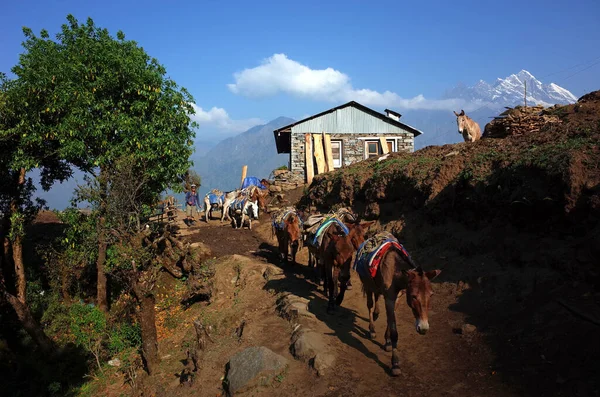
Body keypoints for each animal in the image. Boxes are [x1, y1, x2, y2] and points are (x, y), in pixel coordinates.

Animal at [356, 230, 440, 372]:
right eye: (413, 296)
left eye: (431, 295)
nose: (423, 328)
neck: (395, 270)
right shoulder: (389, 298)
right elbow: (394, 331)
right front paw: (395, 363)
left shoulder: (398, 298)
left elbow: (390, 320)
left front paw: (387, 341)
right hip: (367, 285)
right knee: (370, 304)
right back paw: (372, 329)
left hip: (376, 286)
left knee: (377, 297)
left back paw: (376, 314)